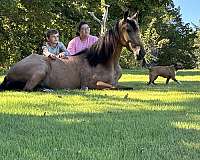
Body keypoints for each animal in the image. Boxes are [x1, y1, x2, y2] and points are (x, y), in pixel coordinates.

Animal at [0, 10, 146, 91]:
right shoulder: (94, 84)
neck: (102, 61)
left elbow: (126, 86)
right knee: (28, 89)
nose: (141, 53)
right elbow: (115, 87)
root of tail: (8, 73)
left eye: (138, 28)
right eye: (128, 29)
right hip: (40, 70)